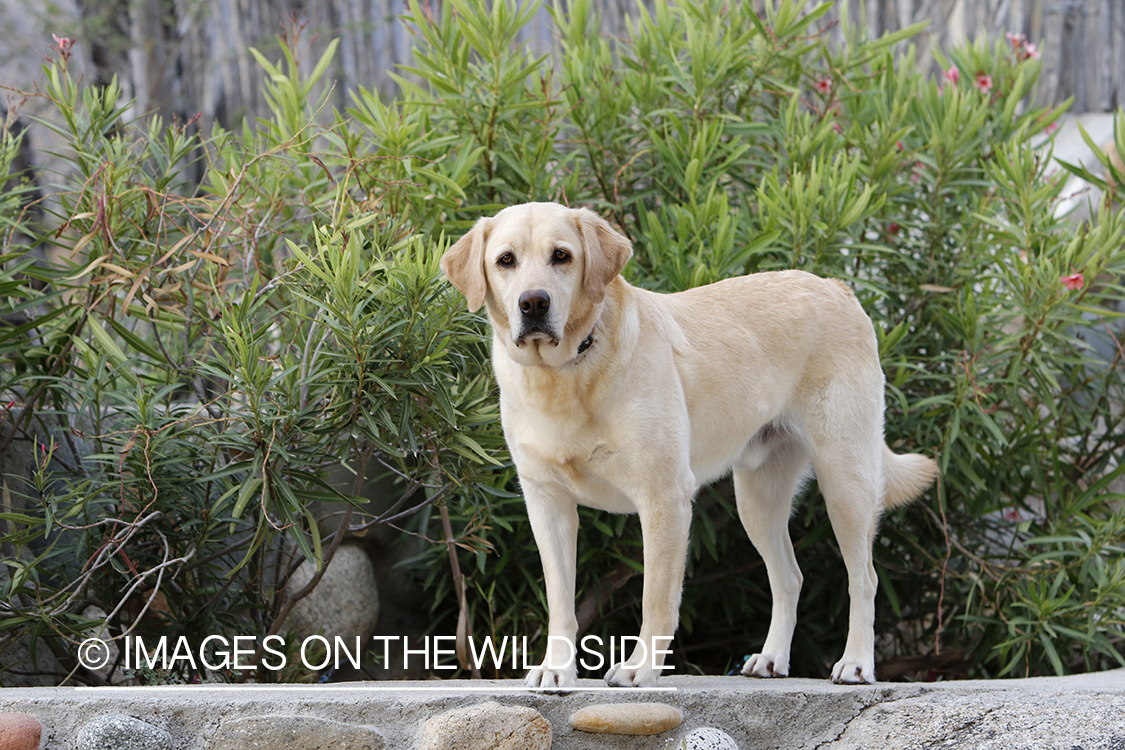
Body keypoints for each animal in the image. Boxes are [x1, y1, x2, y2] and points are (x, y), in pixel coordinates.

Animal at [438, 201, 940, 688]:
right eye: (506, 261)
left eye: (561, 256)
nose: (534, 302)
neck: (566, 373)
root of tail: (838, 287)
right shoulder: (547, 504)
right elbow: (560, 600)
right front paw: (557, 669)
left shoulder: (664, 499)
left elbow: (655, 598)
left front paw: (641, 668)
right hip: (757, 501)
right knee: (790, 578)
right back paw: (772, 658)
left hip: (845, 481)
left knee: (864, 578)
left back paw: (855, 664)